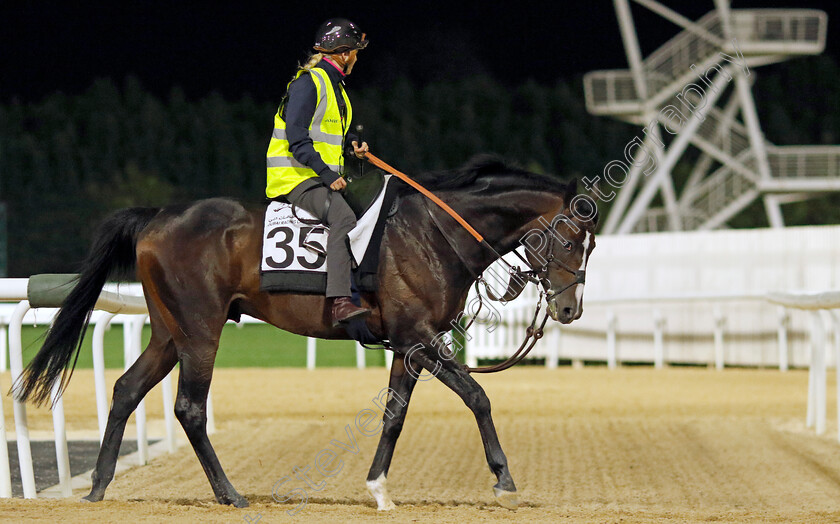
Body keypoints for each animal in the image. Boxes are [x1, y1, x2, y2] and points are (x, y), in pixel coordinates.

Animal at [13, 158, 596, 510]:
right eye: (572, 240)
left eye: (589, 244)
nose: (569, 308)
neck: (434, 235)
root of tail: (157, 216)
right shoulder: (420, 337)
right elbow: (478, 396)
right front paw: (504, 479)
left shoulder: (408, 346)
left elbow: (394, 416)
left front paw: (378, 488)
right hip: (200, 331)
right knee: (189, 408)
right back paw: (230, 494)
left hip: (167, 333)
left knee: (127, 389)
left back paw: (98, 489)